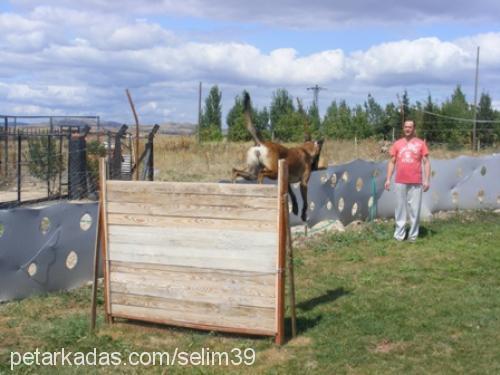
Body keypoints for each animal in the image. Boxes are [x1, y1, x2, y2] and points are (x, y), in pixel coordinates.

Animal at [231, 92, 324, 222]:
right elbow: (305, 202)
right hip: (273, 172)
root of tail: (261, 143)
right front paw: (303, 214)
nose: (316, 166)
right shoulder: (303, 183)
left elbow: (293, 196)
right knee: (261, 175)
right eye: (319, 154)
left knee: (236, 171)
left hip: (252, 173)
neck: (305, 150)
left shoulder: (287, 181)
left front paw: (295, 209)